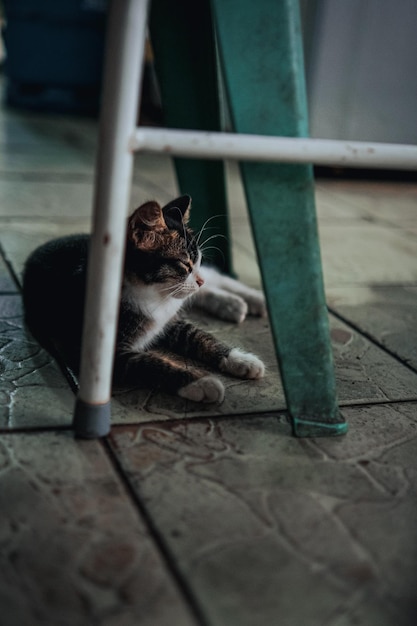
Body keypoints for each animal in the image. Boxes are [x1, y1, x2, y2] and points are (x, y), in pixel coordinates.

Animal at [22, 193, 264, 402]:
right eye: (184, 264)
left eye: (198, 261)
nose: (199, 279)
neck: (152, 295)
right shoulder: (101, 353)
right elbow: (150, 363)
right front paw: (202, 383)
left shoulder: (172, 319)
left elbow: (199, 336)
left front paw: (240, 359)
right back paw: (233, 304)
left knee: (216, 278)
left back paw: (251, 299)